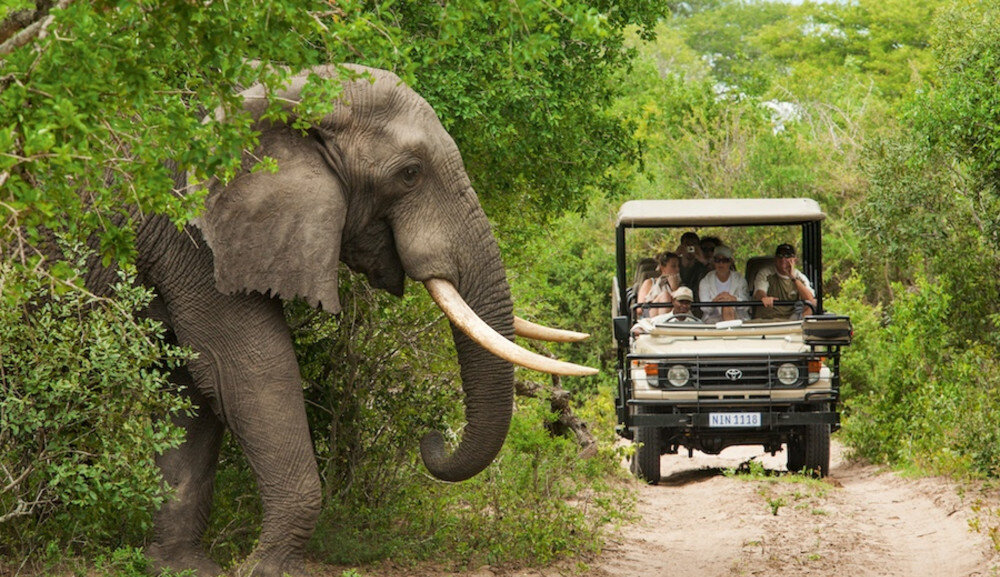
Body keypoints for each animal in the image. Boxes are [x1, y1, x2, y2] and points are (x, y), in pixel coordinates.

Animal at [97, 64, 596, 576]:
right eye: (410, 174)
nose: (433, 439)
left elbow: (194, 385)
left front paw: (180, 567)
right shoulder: (190, 233)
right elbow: (246, 369)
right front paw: (268, 570)